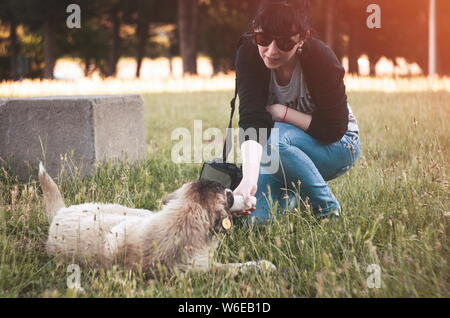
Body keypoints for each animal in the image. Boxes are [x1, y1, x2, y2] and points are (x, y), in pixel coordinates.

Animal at [38, 163, 276, 278]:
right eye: (228, 195)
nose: (237, 194)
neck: (185, 217)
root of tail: (59, 214)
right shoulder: (204, 269)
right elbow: (236, 267)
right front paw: (261, 265)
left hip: (136, 213)